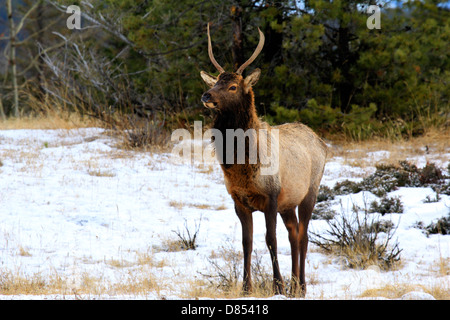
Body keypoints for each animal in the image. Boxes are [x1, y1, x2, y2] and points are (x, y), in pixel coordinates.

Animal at [200, 23, 326, 298]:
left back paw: (300, 286)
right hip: (288, 203)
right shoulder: (239, 201)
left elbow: (270, 239)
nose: (206, 95)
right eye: (216, 81)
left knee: (304, 236)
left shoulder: (271, 196)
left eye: (233, 86)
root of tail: (320, 140)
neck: (243, 168)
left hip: (310, 191)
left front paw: (277, 285)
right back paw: (295, 284)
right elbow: (246, 242)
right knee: (294, 233)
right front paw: (246, 287)